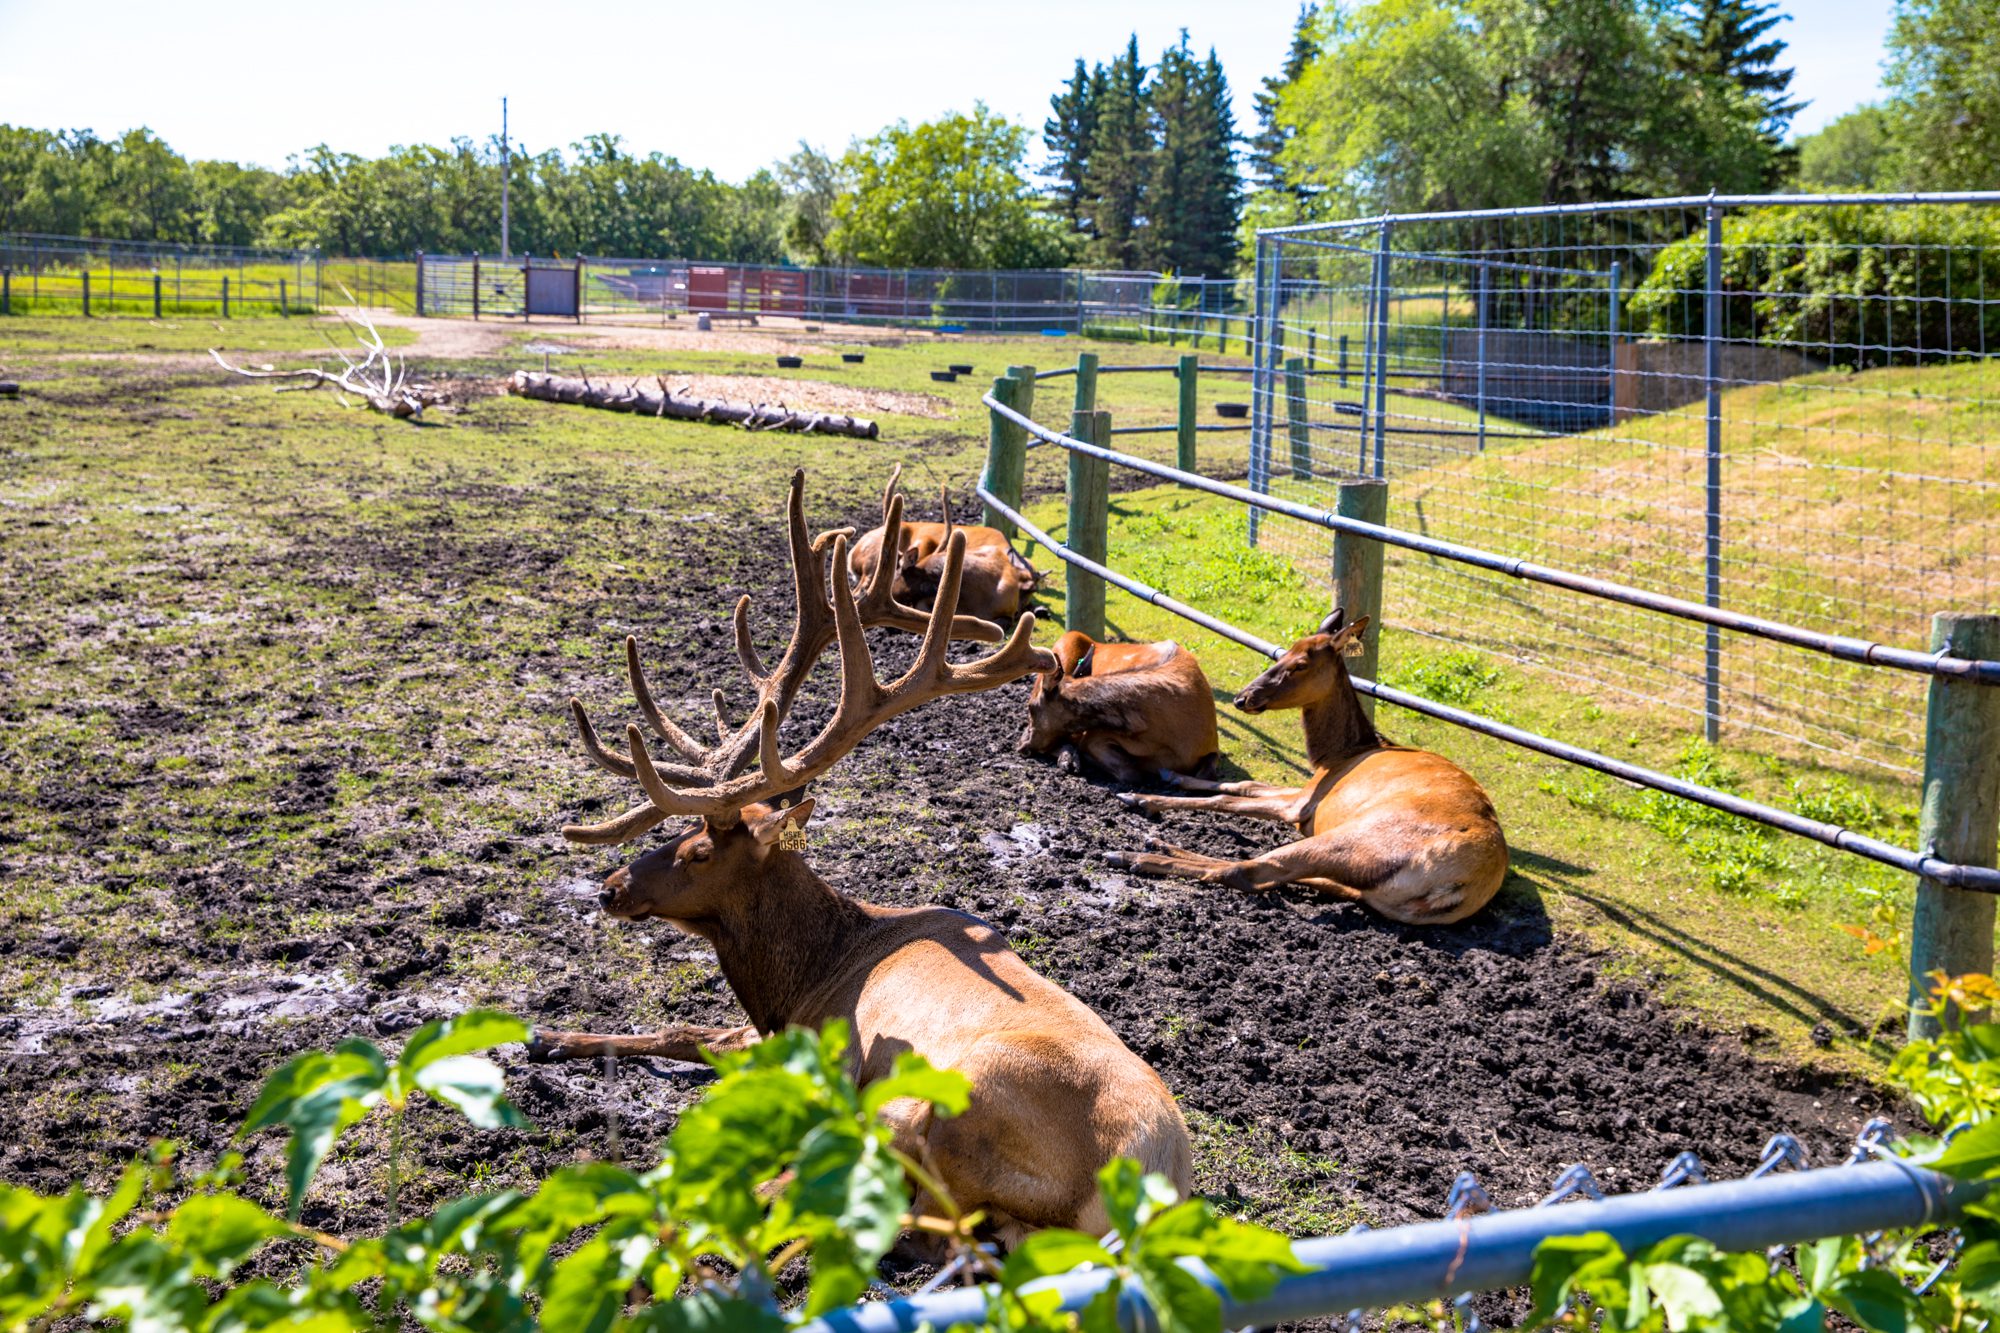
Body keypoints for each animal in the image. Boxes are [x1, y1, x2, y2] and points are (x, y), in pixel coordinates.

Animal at [1105, 610, 1508, 925]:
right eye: (1282, 653)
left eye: (1300, 665)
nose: (1242, 698)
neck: (1339, 753)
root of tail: (1462, 885)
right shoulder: (1309, 788)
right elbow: (1247, 785)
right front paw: (1173, 776)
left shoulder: (1303, 804)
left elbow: (1229, 799)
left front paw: (1140, 797)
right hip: (1372, 884)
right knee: (1301, 878)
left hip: (1362, 837)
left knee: (1249, 870)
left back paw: (1137, 854)